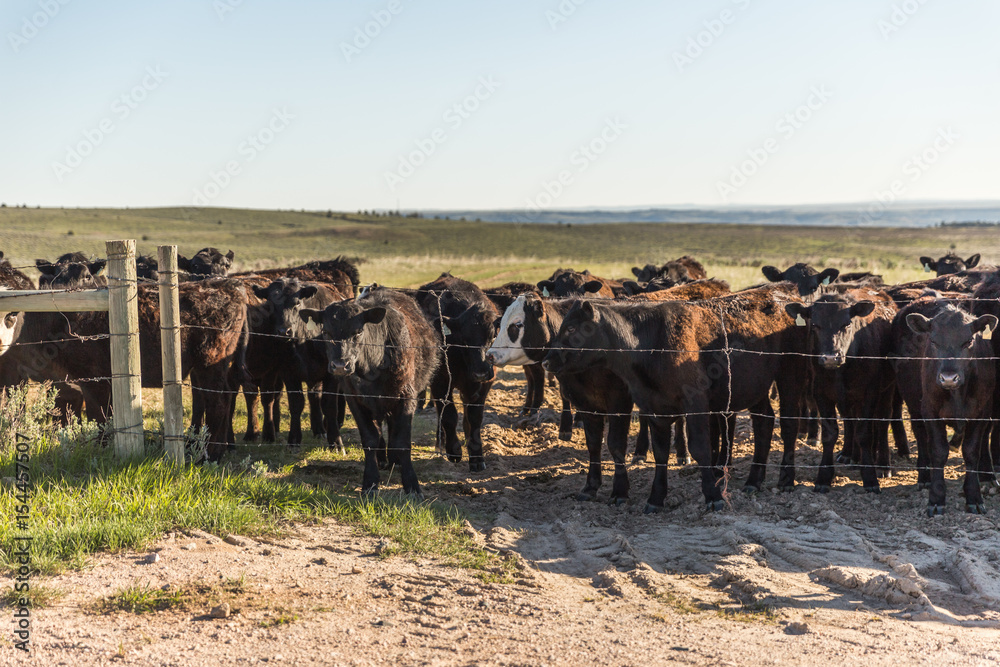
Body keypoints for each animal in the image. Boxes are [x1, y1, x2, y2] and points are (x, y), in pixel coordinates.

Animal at [300, 289, 440, 497]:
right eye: (325, 331)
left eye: (358, 331)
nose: (340, 366)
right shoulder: (355, 400)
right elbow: (370, 438)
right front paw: (370, 482)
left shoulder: (406, 397)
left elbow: (402, 439)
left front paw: (412, 485)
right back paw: (382, 459)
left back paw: (393, 460)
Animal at [416, 274, 499, 472]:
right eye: (464, 339)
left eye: (493, 337)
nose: (481, 372)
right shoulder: (440, 382)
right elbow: (449, 416)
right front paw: (453, 450)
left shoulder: (483, 386)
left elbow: (475, 418)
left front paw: (476, 456)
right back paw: (441, 443)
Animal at [542, 283, 809, 511]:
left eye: (572, 328)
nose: (546, 361)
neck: (652, 343)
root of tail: (783, 291)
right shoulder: (653, 406)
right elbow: (660, 453)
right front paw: (656, 498)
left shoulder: (695, 402)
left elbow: (700, 448)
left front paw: (713, 496)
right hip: (754, 385)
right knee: (764, 421)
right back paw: (754, 481)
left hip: (791, 373)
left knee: (789, 423)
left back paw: (787, 479)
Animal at [785, 289, 898, 493]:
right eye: (815, 325)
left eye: (847, 324)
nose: (830, 358)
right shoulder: (822, 394)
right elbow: (830, 434)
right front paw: (824, 477)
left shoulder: (869, 393)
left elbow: (865, 433)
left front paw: (870, 477)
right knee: (850, 420)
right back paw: (850, 454)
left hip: (887, 389)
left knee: (882, 422)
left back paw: (882, 464)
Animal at [894, 298, 996, 515]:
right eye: (933, 342)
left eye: (968, 342)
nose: (949, 378)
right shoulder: (930, 411)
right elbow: (939, 451)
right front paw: (936, 498)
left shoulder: (981, 412)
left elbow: (971, 452)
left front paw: (974, 497)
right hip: (913, 403)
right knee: (921, 437)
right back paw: (924, 477)